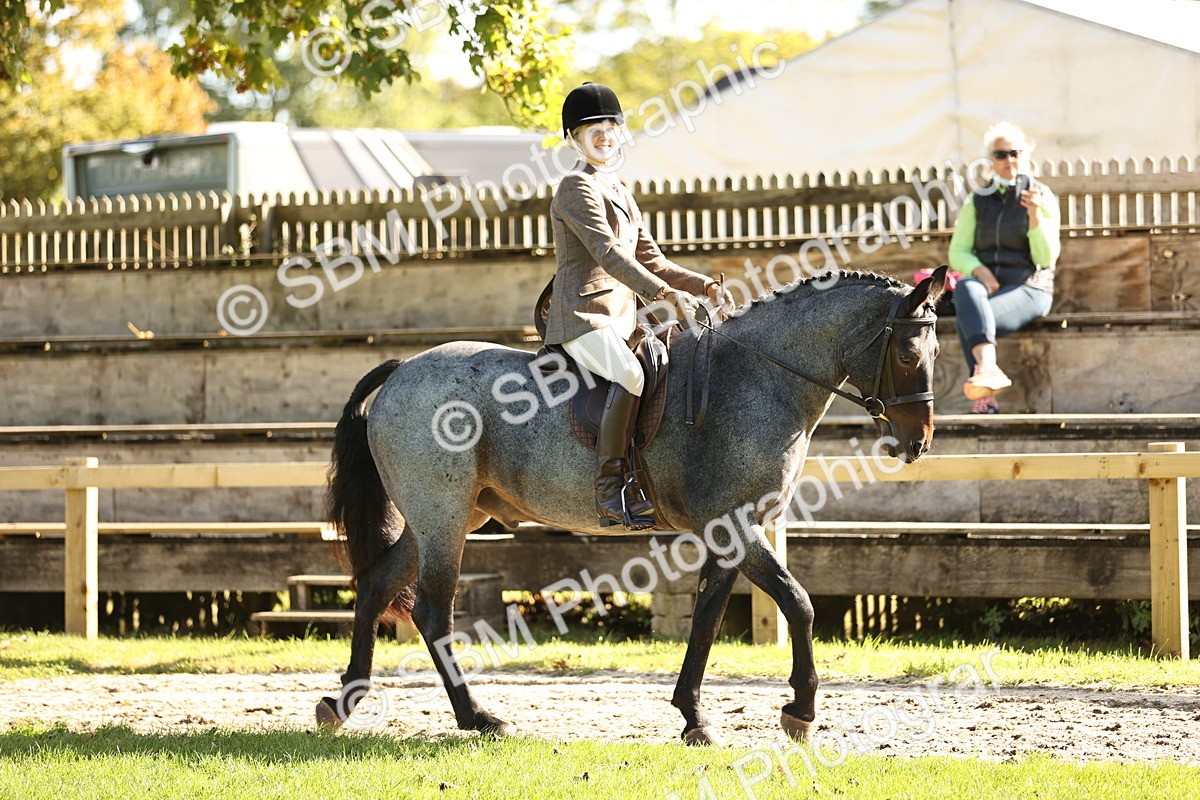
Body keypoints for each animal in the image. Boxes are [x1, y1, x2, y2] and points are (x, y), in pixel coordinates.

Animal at [317, 266, 948, 744]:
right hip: (443, 519)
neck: (757, 378)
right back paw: (478, 718)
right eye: (908, 353)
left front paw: (694, 718)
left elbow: (707, 618)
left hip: (444, 518)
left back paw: (343, 702)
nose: (917, 442)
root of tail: (404, 367)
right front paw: (800, 712)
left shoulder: (728, 532)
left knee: (375, 586)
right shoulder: (735, 525)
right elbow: (798, 603)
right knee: (431, 611)